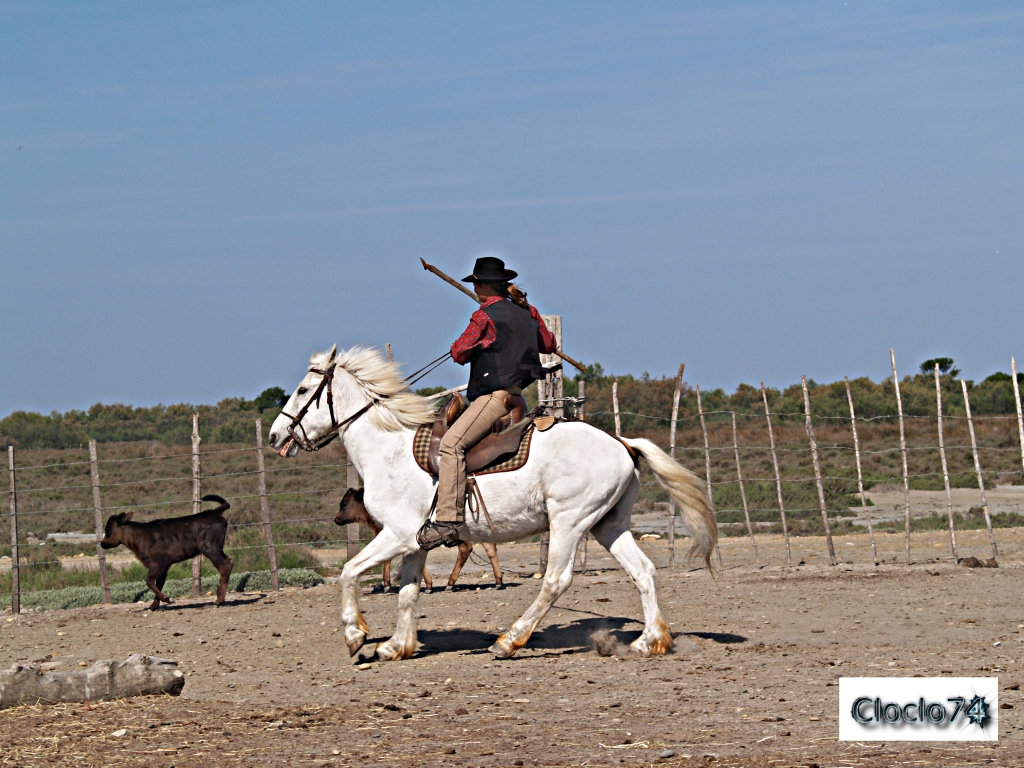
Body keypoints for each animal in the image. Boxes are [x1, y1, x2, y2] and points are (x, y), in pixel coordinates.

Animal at [101, 493, 234, 614]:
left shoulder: (158, 563)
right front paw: (153, 606)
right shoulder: (164, 567)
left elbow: (149, 582)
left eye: (108, 529)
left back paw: (218, 601)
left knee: (225, 566)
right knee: (230, 561)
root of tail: (214, 512)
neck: (139, 536)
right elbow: (158, 584)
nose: (102, 543)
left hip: (211, 548)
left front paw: (168, 599)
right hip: (216, 549)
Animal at [270, 344, 720, 663]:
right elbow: (408, 592)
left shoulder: (396, 536)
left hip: (570, 522)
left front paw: (355, 635)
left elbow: (348, 573)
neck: (389, 448)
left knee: (555, 581)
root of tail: (622, 442)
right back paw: (649, 641)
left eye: (304, 390)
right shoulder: (415, 544)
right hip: (608, 524)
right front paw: (396, 646)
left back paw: (509, 640)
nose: (276, 436)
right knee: (643, 572)